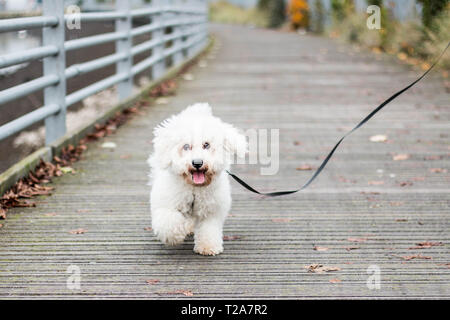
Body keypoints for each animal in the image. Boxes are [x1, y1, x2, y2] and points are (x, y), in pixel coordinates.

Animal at [148, 104, 246, 256]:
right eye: (186, 146)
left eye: (206, 145)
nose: (198, 163)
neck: (194, 188)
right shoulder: (166, 203)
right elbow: (169, 222)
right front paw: (176, 235)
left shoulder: (211, 210)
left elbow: (209, 229)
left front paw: (208, 246)